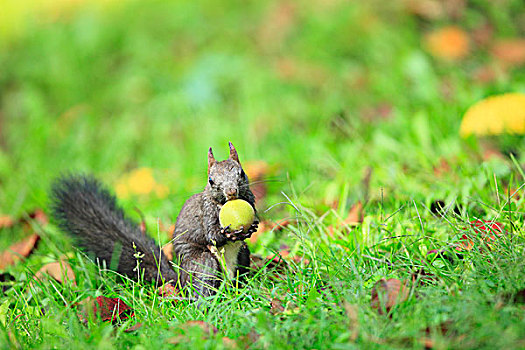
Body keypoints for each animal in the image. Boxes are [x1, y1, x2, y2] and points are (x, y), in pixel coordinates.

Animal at [50, 142, 258, 298]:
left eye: (241, 173)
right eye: (211, 181)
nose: (231, 191)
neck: (224, 203)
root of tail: (179, 281)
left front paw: (252, 227)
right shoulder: (206, 213)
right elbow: (212, 235)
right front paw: (229, 233)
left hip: (243, 256)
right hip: (202, 262)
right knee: (203, 281)